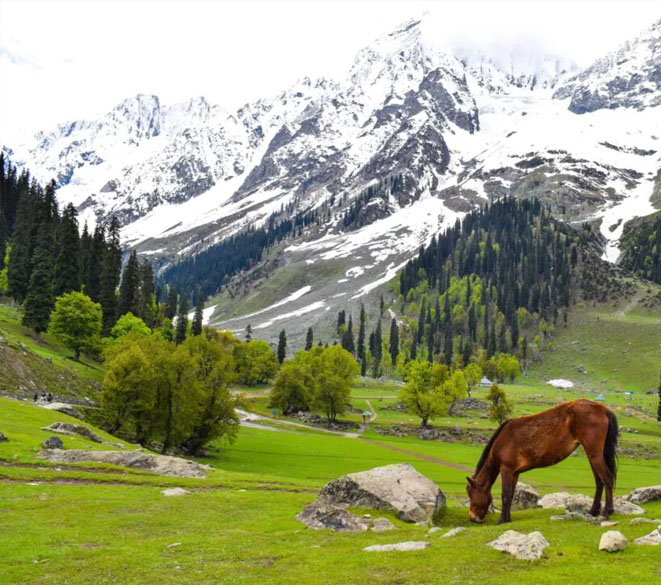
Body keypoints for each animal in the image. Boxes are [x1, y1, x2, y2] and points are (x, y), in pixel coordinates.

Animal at [466, 399, 618, 524]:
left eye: (470, 494)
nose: (473, 518)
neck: (503, 440)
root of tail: (603, 409)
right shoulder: (514, 473)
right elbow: (510, 495)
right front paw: (507, 518)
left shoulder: (506, 470)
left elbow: (505, 495)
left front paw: (502, 520)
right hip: (592, 455)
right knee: (599, 482)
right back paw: (593, 511)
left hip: (594, 453)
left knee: (607, 478)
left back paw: (606, 512)